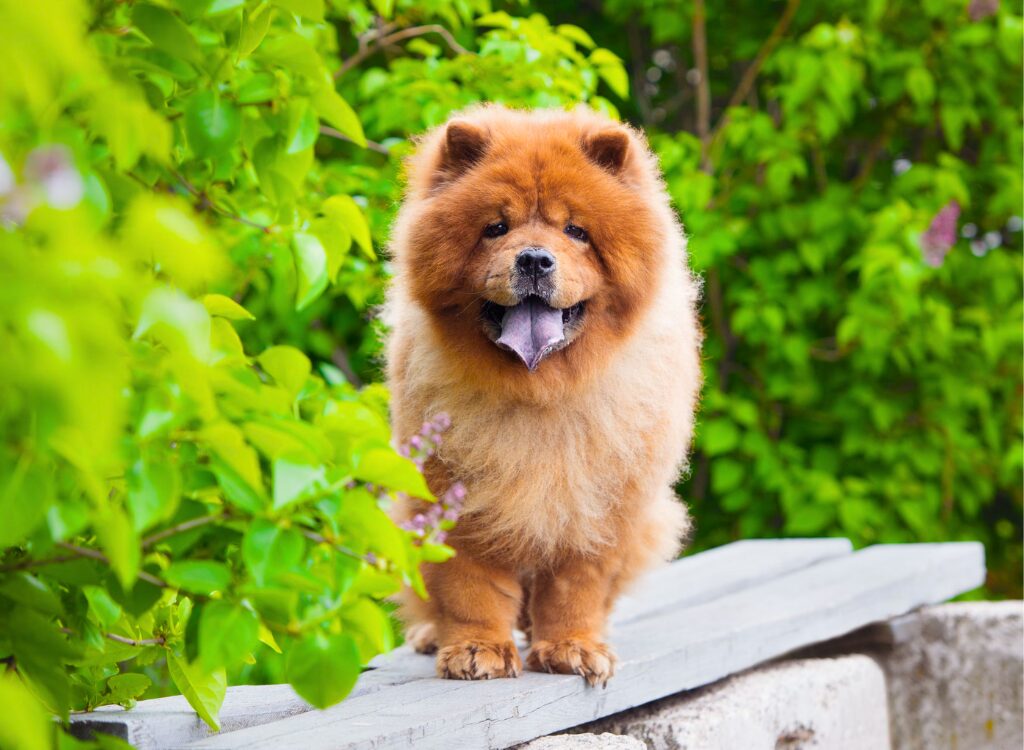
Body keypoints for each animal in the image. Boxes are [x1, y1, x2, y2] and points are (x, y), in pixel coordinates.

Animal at [385, 103, 704, 684]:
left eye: (576, 230)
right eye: (496, 228)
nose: (534, 259)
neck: (540, 393)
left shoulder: (599, 508)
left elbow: (576, 590)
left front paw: (572, 648)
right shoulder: (454, 499)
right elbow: (468, 588)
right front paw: (476, 651)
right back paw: (430, 636)